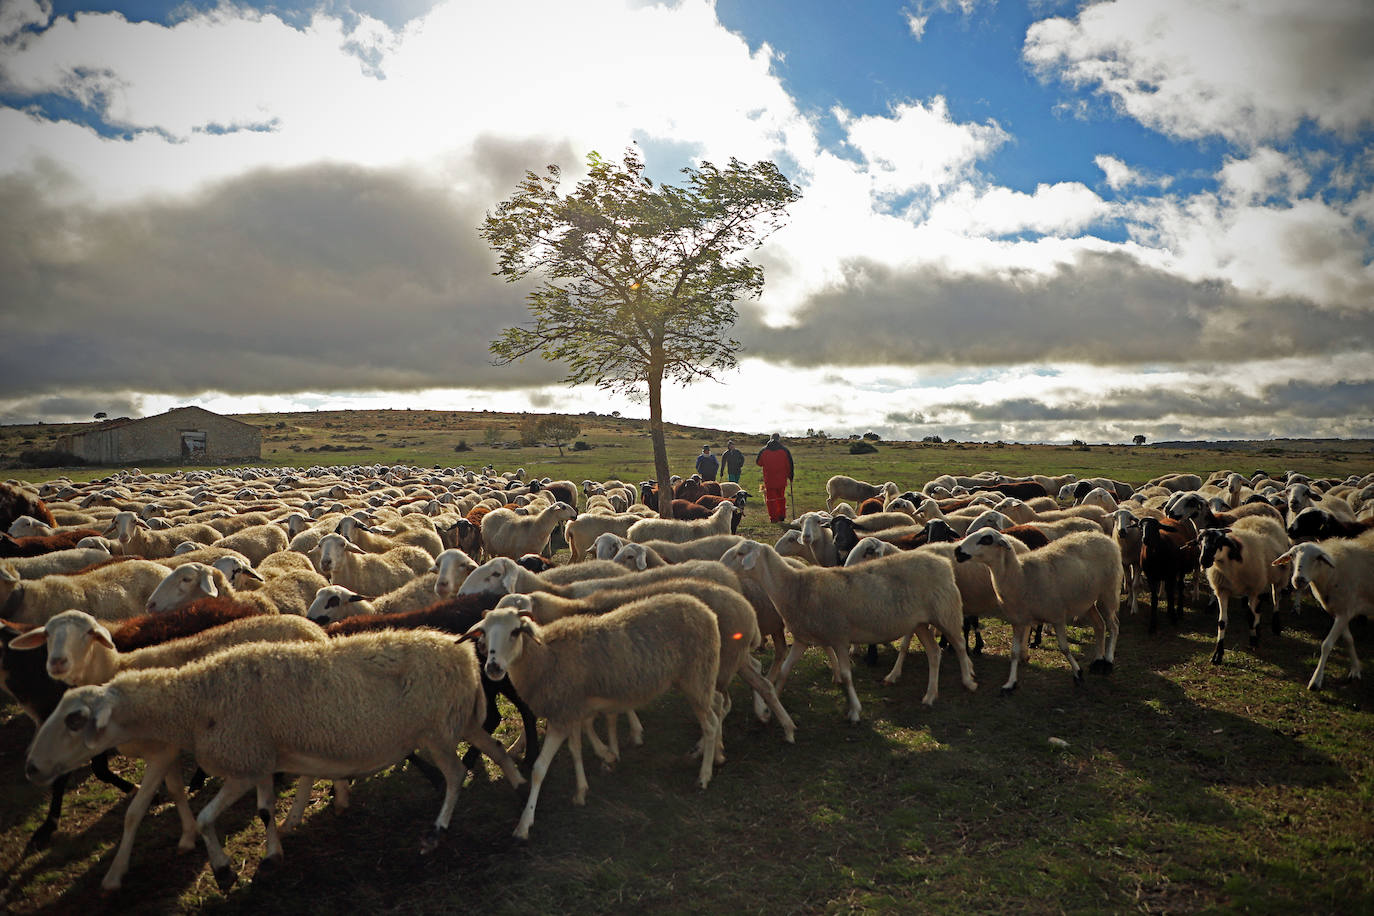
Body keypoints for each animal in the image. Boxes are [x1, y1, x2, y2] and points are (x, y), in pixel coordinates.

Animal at [458, 598, 719, 840]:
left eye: (514, 631)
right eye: (484, 632)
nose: (492, 668)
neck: (545, 656)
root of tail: (704, 609)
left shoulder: (562, 715)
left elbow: (539, 768)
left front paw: (524, 824)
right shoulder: (570, 711)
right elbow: (576, 750)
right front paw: (582, 791)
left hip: (697, 676)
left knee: (710, 725)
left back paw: (704, 776)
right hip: (698, 680)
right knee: (716, 713)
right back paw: (714, 755)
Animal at [719, 538, 978, 725]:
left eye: (740, 553)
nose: (721, 564)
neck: (795, 587)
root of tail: (943, 563)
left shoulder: (839, 636)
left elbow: (845, 674)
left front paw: (854, 710)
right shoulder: (803, 638)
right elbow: (783, 671)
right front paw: (771, 703)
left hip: (945, 612)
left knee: (958, 645)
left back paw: (968, 680)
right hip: (921, 623)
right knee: (934, 653)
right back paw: (930, 695)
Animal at [950, 527, 1121, 692]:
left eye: (986, 539)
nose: (957, 551)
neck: (1021, 576)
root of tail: (1101, 536)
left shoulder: (1057, 616)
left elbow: (1064, 648)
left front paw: (1078, 673)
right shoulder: (1018, 621)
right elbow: (1014, 653)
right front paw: (1010, 683)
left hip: (1108, 592)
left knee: (1113, 626)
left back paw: (1108, 662)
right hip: (1087, 602)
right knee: (1099, 625)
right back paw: (1098, 661)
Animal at [1198, 516, 1291, 667]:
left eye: (1219, 542)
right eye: (1201, 541)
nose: (1204, 560)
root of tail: (1263, 518)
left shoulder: (1252, 589)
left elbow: (1250, 617)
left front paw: (1253, 641)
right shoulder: (1223, 591)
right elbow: (1222, 622)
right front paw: (1218, 654)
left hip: (1278, 576)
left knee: (1276, 598)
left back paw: (1275, 626)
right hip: (1262, 583)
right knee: (1259, 606)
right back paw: (1258, 629)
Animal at [1269, 538, 1374, 686]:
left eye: (1318, 557)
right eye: (1291, 555)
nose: (1299, 580)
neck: (1333, 572)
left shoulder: (1345, 611)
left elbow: (1326, 645)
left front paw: (1316, 680)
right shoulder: (1340, 611)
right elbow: (1348, 639)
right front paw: (1355, 669)